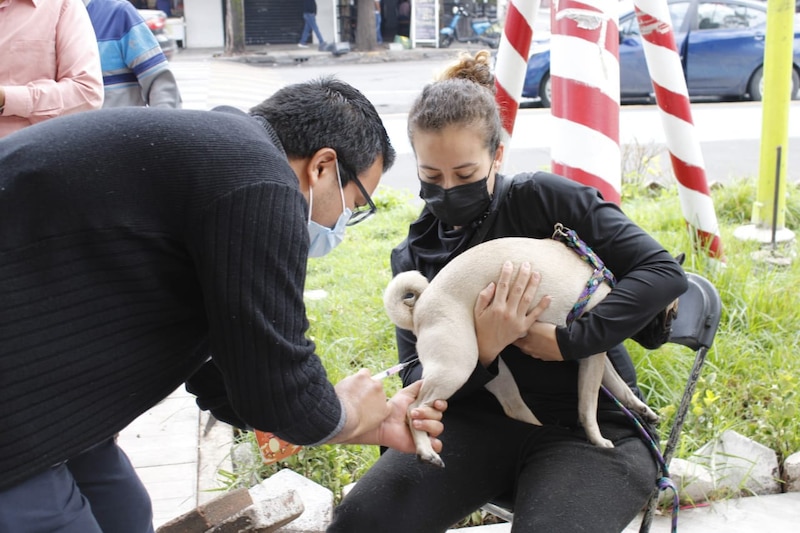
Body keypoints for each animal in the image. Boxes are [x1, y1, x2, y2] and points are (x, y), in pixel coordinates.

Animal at [386, 236, 656, 466]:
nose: (663, 336)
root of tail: (417, 309)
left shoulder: (592, 354)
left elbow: (617, 384)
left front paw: (640, 407)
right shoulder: (592, 358)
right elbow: (588, 406)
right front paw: (597, 438)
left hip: (494, 373)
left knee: (512, 407)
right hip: (457, 367)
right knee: (414, 408)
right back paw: (426, 451)